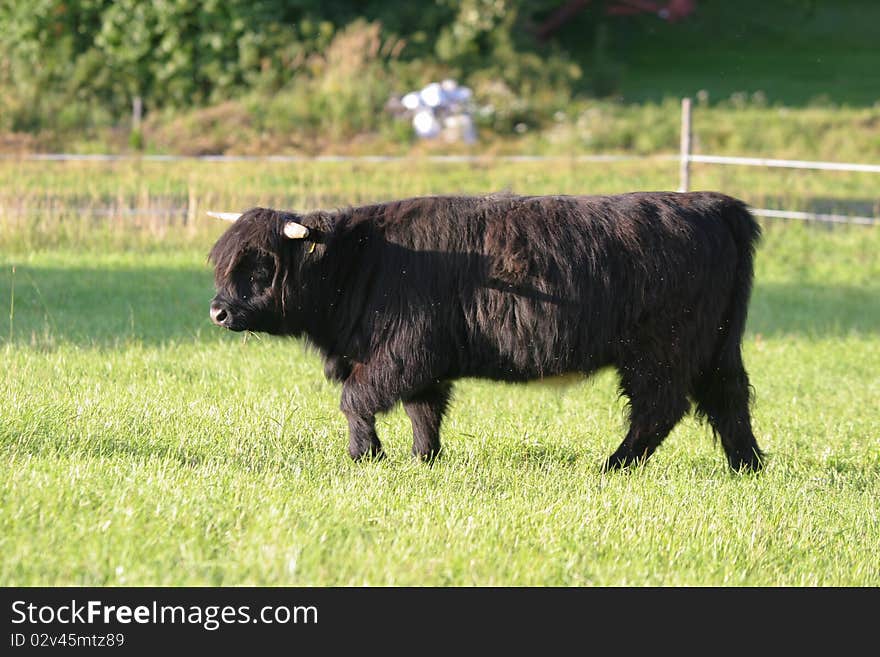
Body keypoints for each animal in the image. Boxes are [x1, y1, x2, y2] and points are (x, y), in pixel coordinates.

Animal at [208, 191, 764, 472]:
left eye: (260, 265)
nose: (218, 312)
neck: (363, 260)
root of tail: (715, 205)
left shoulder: (403, 351)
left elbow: (358, 398)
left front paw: (366, 455)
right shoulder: (422, 362)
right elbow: (423, 410)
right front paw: (424, 459)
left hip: (660, 350)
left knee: (659, 408)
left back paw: (613, 466)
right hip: (717, 344)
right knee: (728, 400)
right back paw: (747, 466)